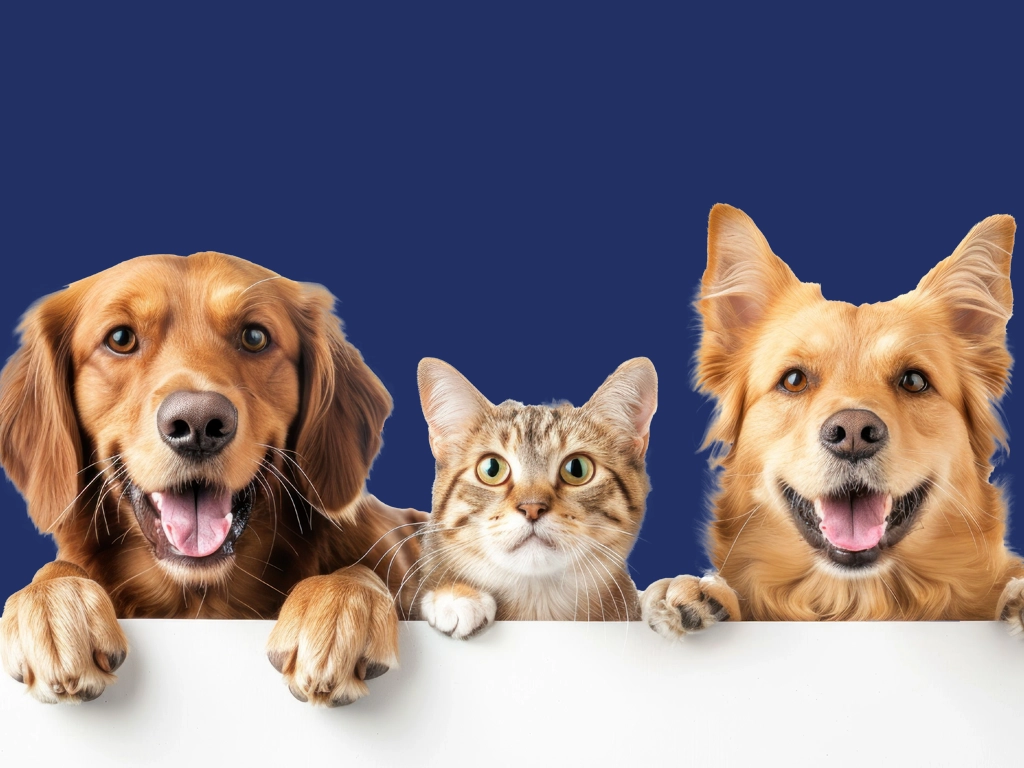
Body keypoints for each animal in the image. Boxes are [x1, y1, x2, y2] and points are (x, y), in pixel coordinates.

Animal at [0, 250, 423, 704]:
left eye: (254, 337)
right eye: (120, 338)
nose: (199, 424)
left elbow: (359, 570)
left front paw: (338, 606)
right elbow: (55, 569)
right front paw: (53, 604)